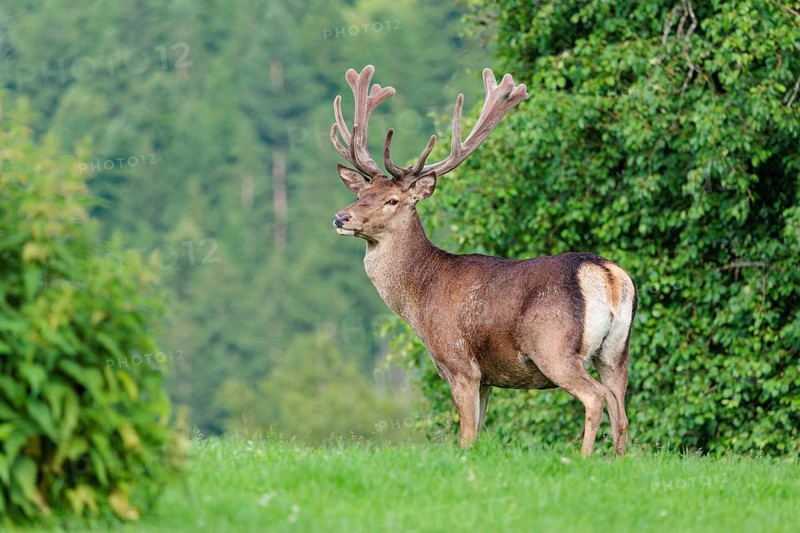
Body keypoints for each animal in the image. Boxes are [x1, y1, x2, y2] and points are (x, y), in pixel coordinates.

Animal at [330, 65, 637, 456]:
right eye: (361, 193)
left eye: (392, 200)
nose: (341, 217)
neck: (419, 298)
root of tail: (607, 275)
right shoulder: (488, 378)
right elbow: (478, 431)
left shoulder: (460, 363)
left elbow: (465, 435)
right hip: (616, 351)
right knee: (620, 410)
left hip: (554, 346)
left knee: (595, 398)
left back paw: (583, 458)